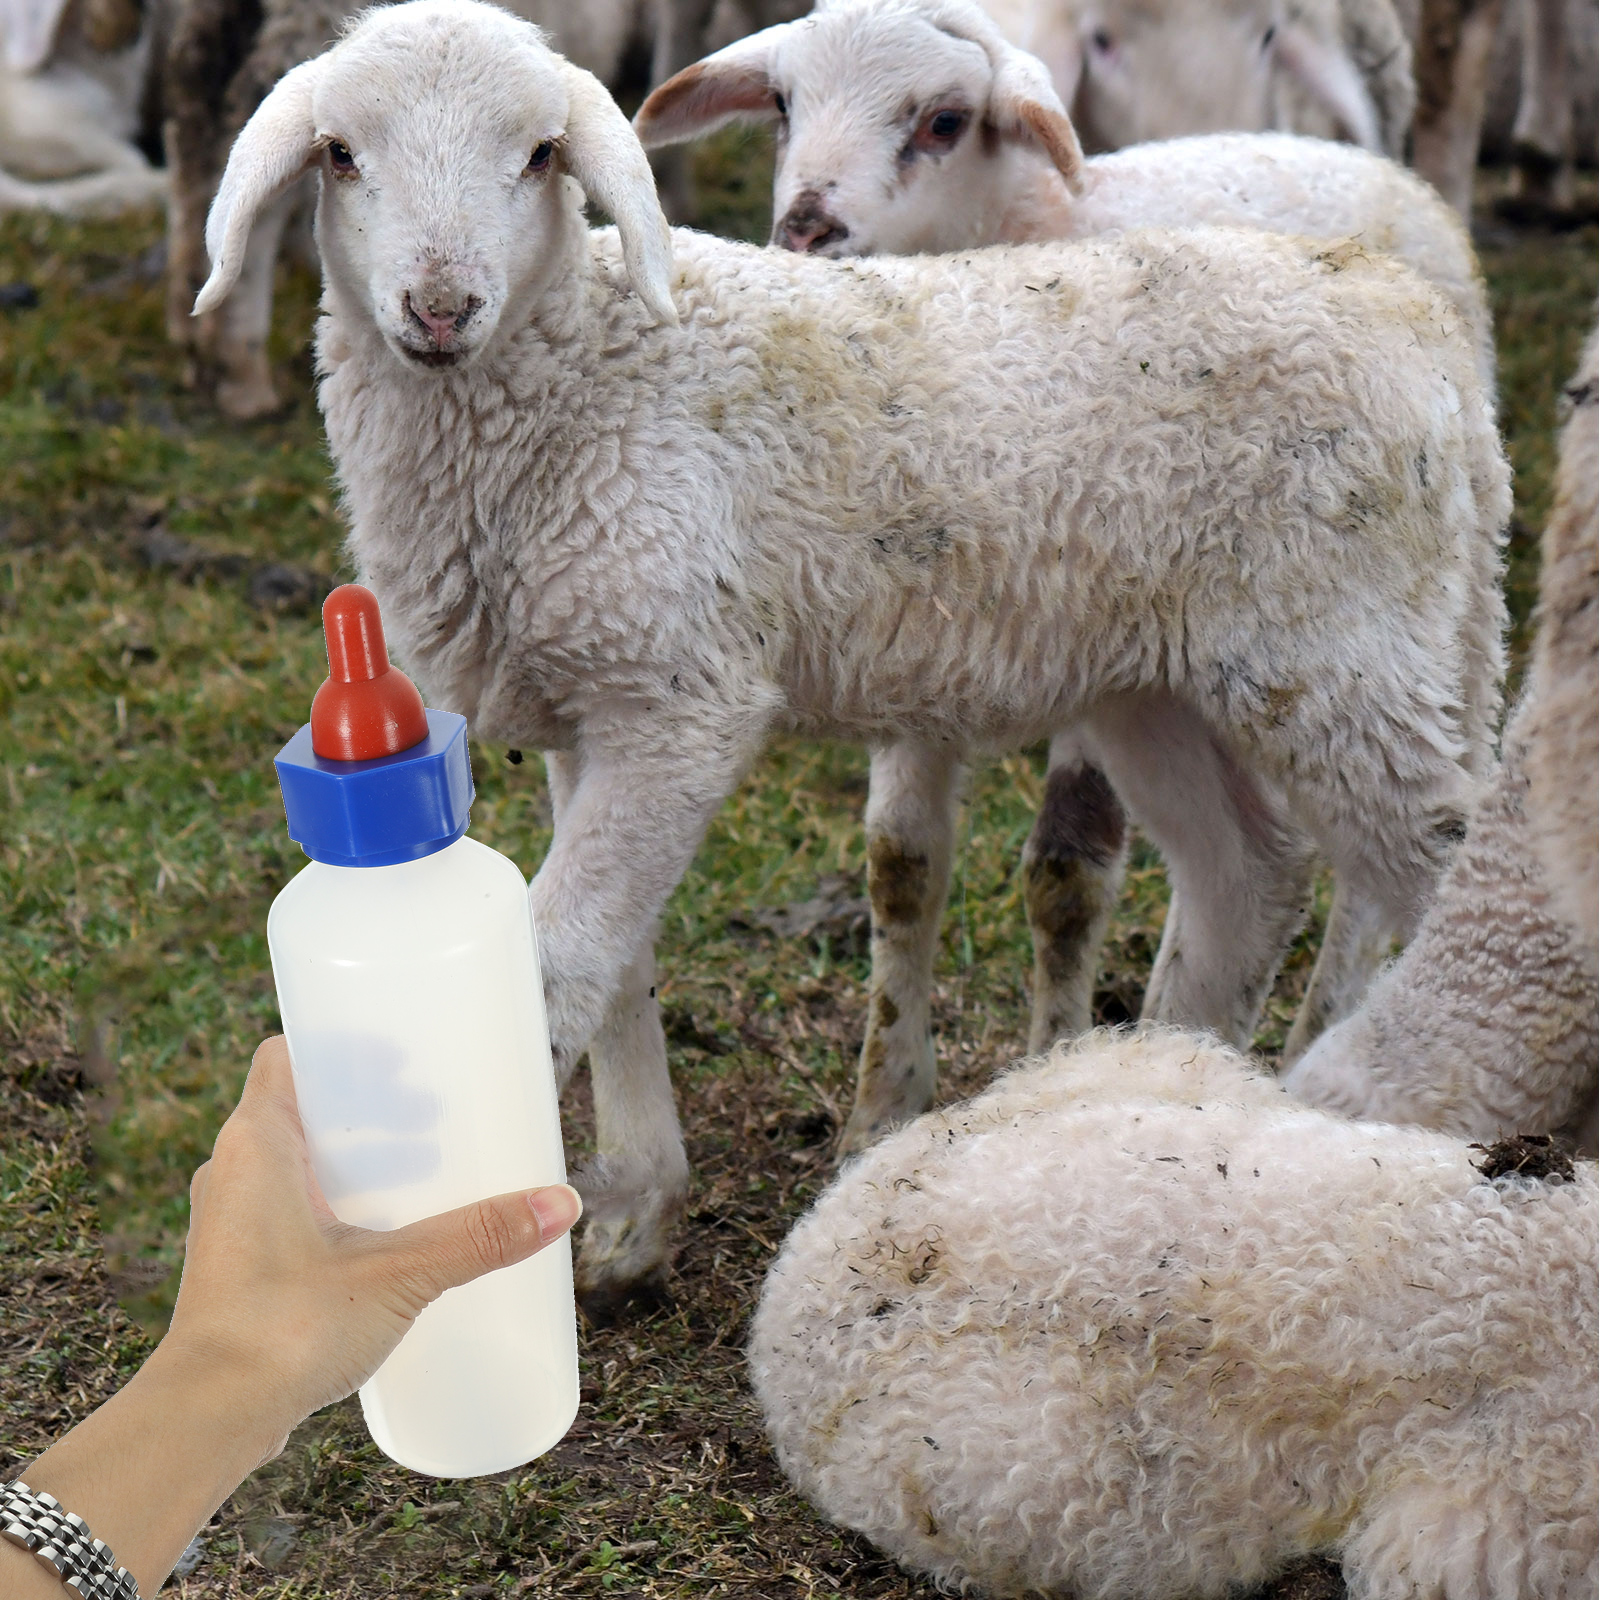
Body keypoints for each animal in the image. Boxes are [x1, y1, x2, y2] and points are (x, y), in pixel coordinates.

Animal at [637, 0, 1497, 1082]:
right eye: (784, 105)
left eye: (944, 121)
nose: (806, 229)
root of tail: (1370, 166)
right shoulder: (921, 604)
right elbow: (901, 863)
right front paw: (886, 1098)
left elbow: (1067, 868)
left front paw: (1057, 1053)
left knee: (1365, 872)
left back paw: (1320, 1028)